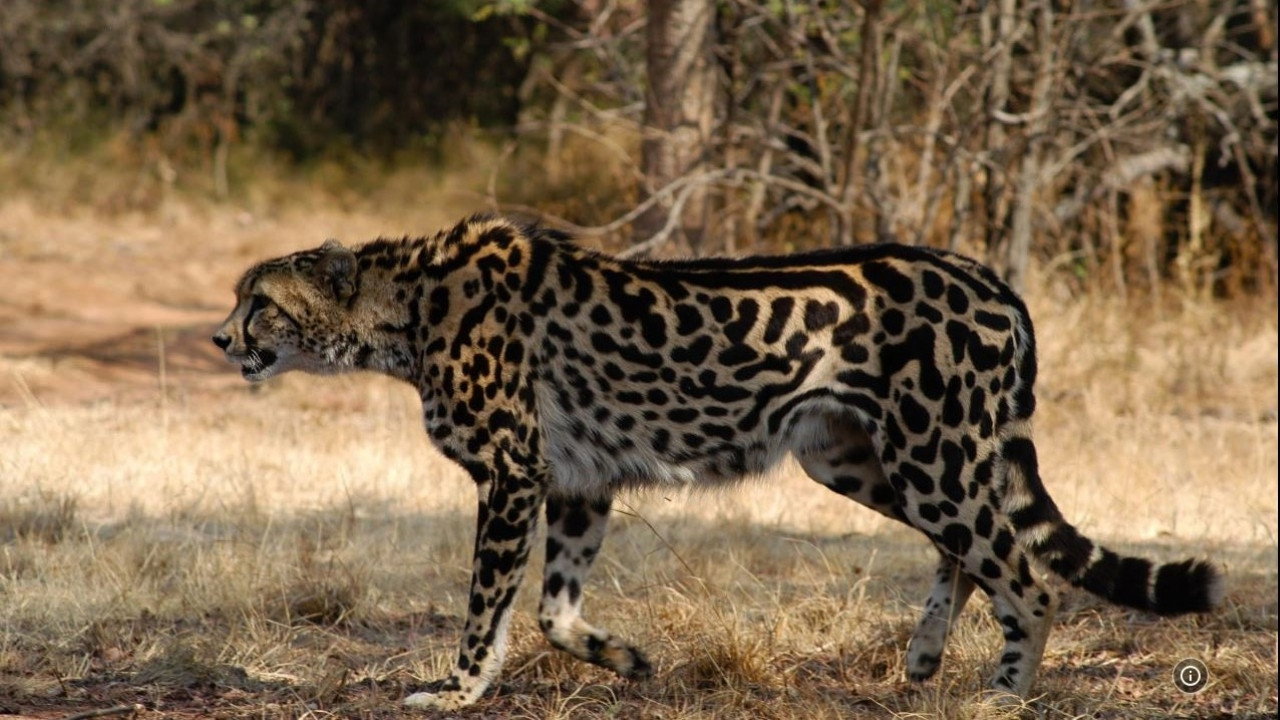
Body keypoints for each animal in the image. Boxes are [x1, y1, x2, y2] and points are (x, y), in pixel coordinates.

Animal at [213, 214, 1222, 710]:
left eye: (260, 302)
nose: (222, 338)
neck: (406, 306)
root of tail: (986, 274)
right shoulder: (577, 479)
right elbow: (552, 610)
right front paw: (624, 659)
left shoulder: (514, 474)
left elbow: (486, 607)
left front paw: (457, 690)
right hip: (864, 460)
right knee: (970, 553)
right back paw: (927, 656)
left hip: (933, 456)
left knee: (1030, 579)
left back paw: (1004, 696)